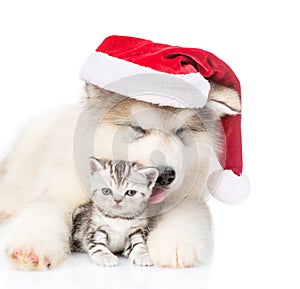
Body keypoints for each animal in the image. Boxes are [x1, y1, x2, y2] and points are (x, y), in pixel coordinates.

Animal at [0, 81, 239, 270]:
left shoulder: (188, 197)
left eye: (181, 131)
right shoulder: (63, 191)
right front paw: (31, 245)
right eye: (137, 128)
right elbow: (44, 211)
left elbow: (187, 213)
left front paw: (175, 243)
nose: (165, 175)